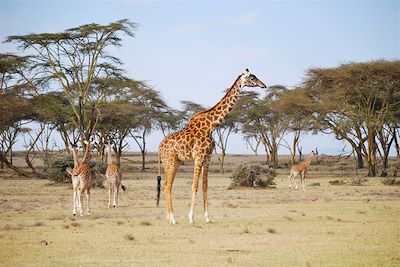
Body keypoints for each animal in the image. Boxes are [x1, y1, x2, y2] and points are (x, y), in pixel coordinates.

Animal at [156, 68, 266, 224]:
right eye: (252, 77)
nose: (264, 85)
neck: (211, 126)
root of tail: (159, 148)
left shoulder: (207, 156)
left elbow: (205, 187)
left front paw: (207, 217)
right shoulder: (198, 156)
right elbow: (194, 186)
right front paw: (191, 218)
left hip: (175, 162)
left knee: (166, 185)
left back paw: (169, 218)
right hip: (169, 161)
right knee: (167, 186)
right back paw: (173, 218)